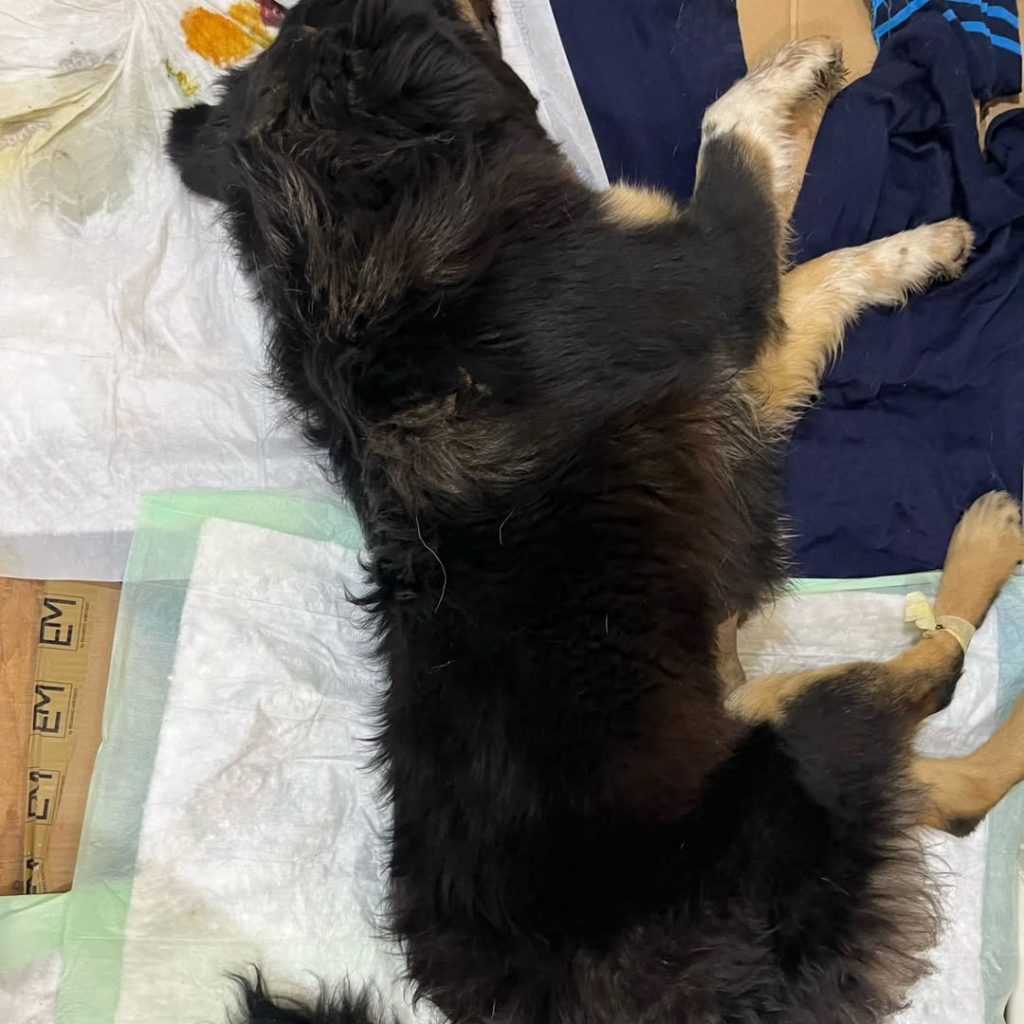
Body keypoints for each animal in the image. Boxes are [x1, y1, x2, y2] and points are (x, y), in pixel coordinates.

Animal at [167, 2, 1024, 1021]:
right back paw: (990, 541)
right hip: (794, 735)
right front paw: (839, 122)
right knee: (936, 688)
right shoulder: (722, 292)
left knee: (944, 788)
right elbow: (746, 159)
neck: (356, 222)